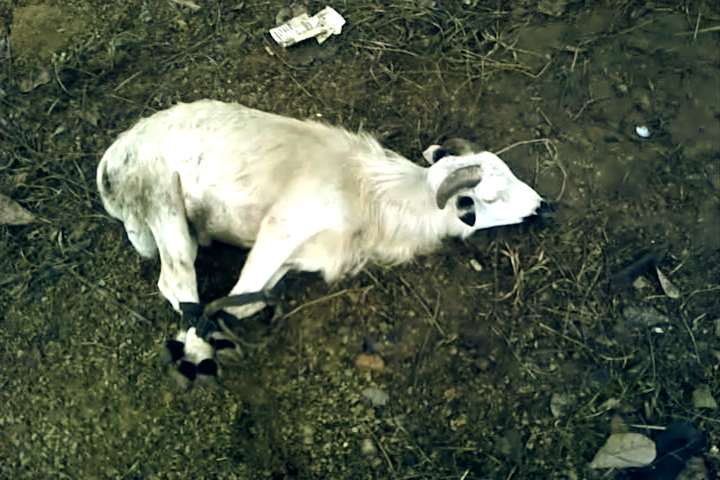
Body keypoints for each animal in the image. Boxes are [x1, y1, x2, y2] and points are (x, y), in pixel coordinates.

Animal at [98, 100, 542, 376]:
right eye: (492, 196)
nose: (542, 205)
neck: (373, 197)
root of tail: (112, 159)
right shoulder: (282, 226)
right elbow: (235, 292)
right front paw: (196, 350)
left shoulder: (297, 258)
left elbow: (245, 301)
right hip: (160, 197)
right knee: (176, 277)